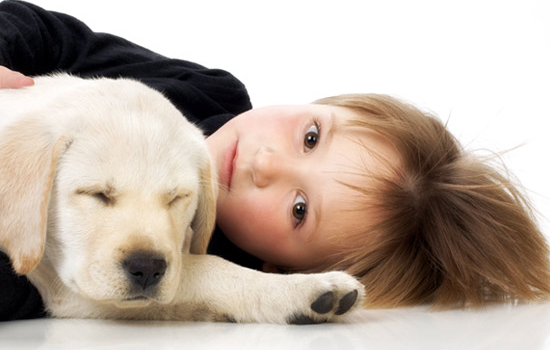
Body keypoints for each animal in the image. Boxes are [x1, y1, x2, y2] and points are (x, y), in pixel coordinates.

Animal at [1, 75, 366, 324]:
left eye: (177, 198)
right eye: (97, 194)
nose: (147, 268)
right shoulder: (65, 289)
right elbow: (205, 267)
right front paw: (304, 289)